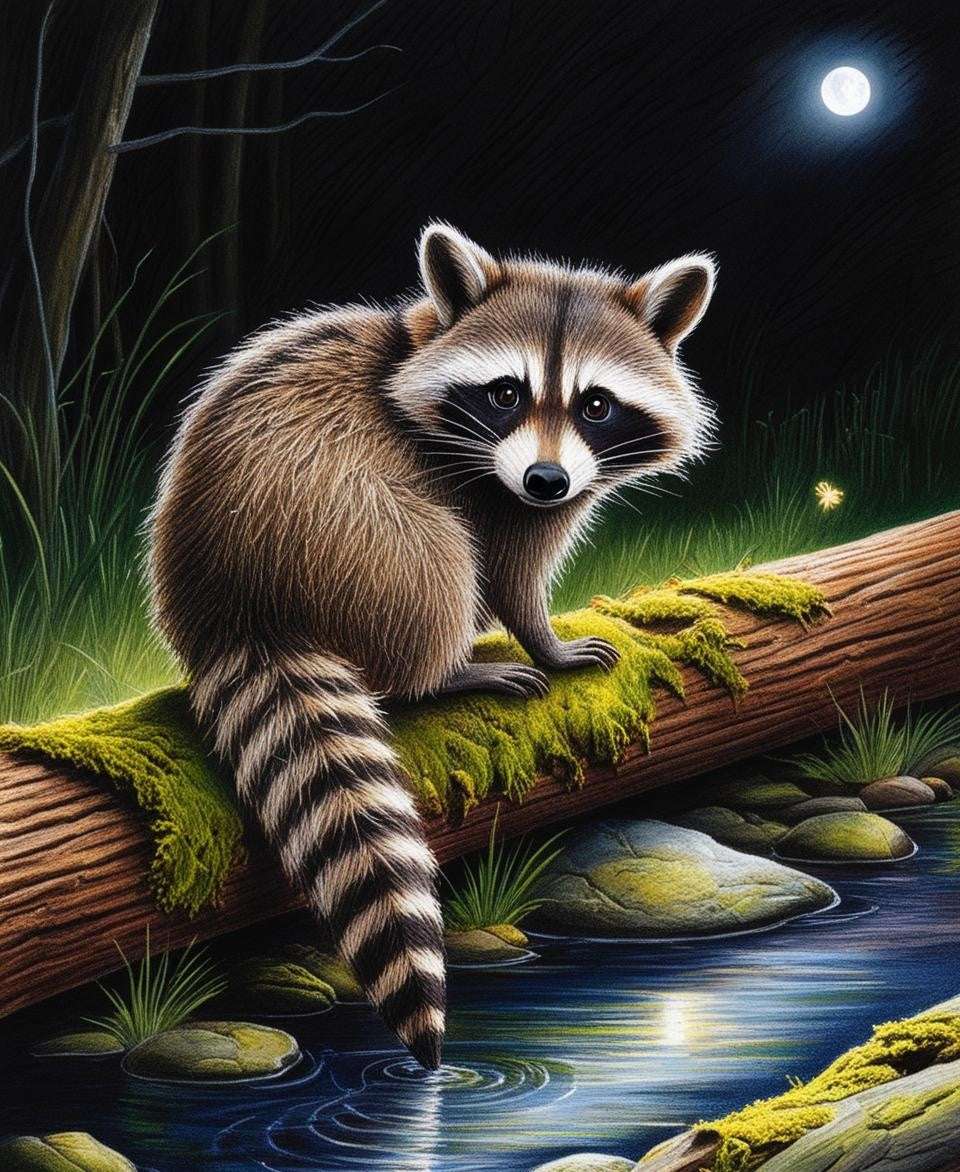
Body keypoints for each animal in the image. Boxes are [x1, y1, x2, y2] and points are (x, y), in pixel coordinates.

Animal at [148, 224, 715, 1070]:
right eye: (505, 392)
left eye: (597, 404)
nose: (546, 480)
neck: (418, 338)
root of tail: (236, 609)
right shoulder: (483, 487)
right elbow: (510, 571)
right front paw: (545, 641)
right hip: (347, 530)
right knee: (433, 556)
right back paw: (442, 673)